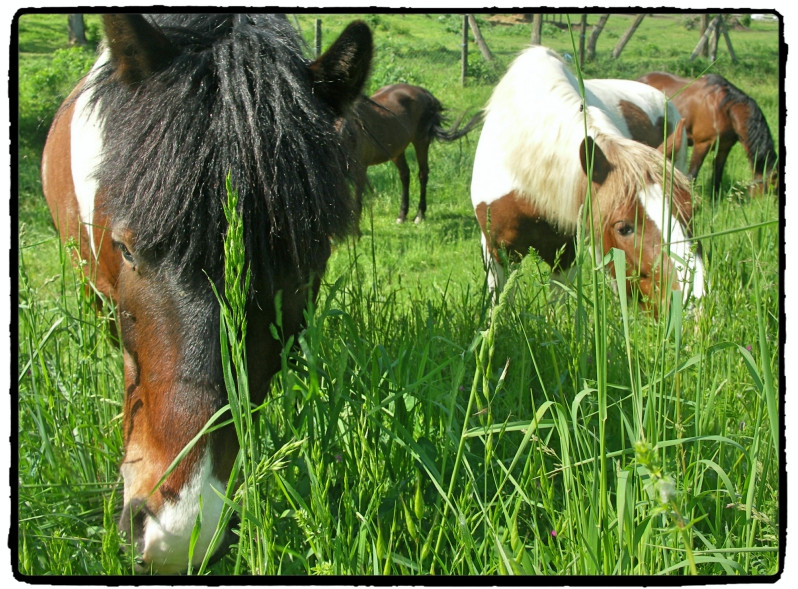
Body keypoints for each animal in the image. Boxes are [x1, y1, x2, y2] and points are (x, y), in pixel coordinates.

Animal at [342, 84, 482, 226]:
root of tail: (422, 91)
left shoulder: (359, 170)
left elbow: (356, 204)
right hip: (397, 150)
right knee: (405, 174)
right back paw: (402, 215)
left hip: (421, 141)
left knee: (422, 174)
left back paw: (419, 215)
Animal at [636, 71, 780, 195]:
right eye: (772, 188)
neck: (724, 108)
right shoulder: (702, 144)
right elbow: (692, 176)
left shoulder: (724, 148)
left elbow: (717, 177)